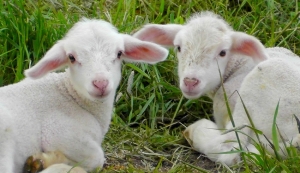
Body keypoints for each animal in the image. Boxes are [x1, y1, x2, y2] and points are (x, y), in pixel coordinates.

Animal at [0, 16, 169, 172]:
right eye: (71, 57)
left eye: (119, 53)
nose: (101, 83)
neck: (71, 95)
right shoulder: (59, 132)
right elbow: (96, 158)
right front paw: (44, 161)